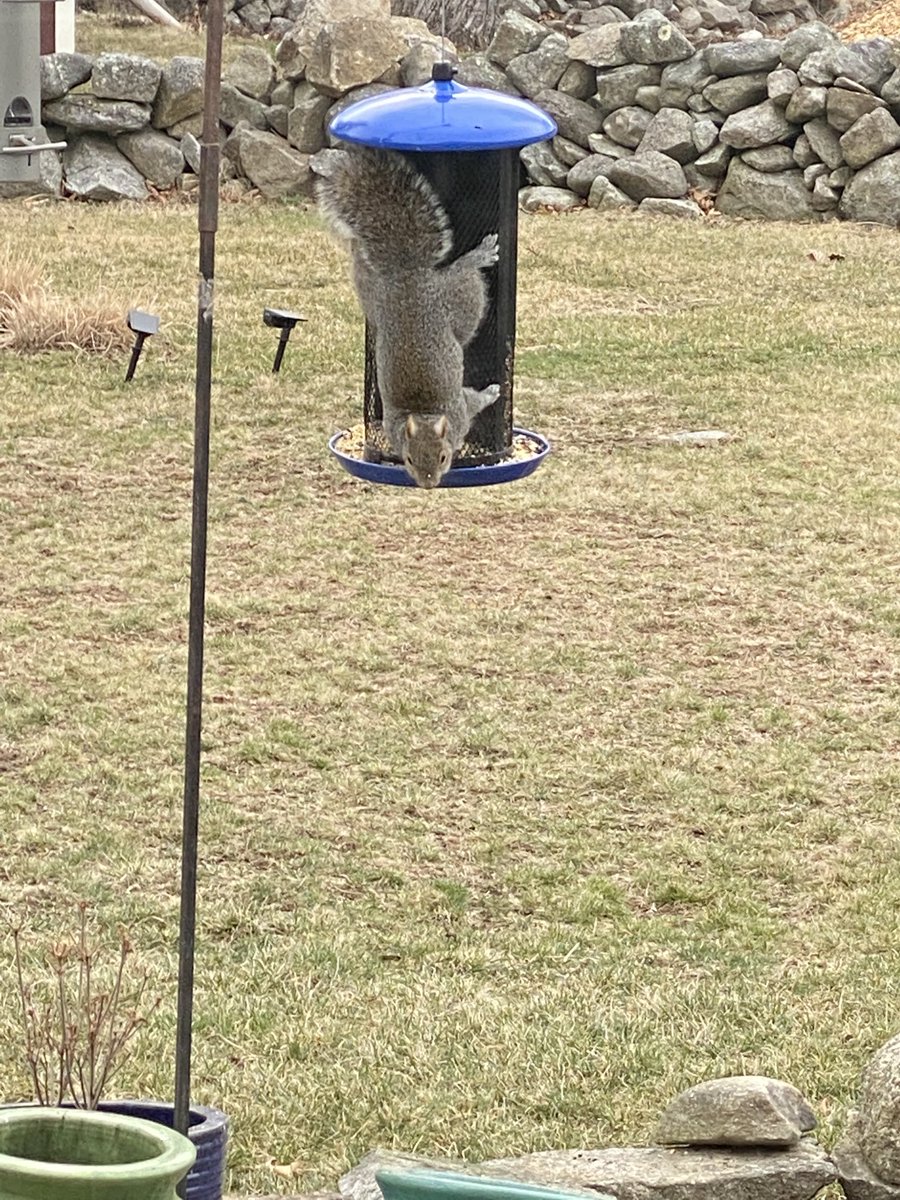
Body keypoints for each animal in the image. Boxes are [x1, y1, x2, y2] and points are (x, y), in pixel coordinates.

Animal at [314, 144, 501, 487]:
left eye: (443, 457)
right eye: (409, 459)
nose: (427, 484)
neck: (422, 412)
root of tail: (408, 277)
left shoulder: (460, 409)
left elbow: (476, 401)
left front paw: (492, 393)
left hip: (461, 300)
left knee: (464, 276)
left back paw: (478, 256)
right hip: (374, 299)